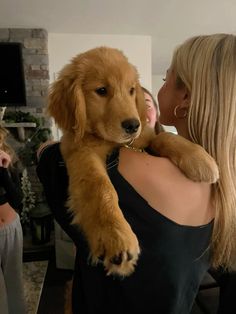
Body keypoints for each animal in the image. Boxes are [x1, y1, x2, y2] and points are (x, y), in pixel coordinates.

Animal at [48, 45, 219, 276]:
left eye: (131, 90)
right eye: (102, 90)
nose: (132, 125)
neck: (112, 142)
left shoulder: (144, 137)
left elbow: (165, 136)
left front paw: (200, 159)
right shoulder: (81, 153)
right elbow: (100, 188)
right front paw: (115, 236)